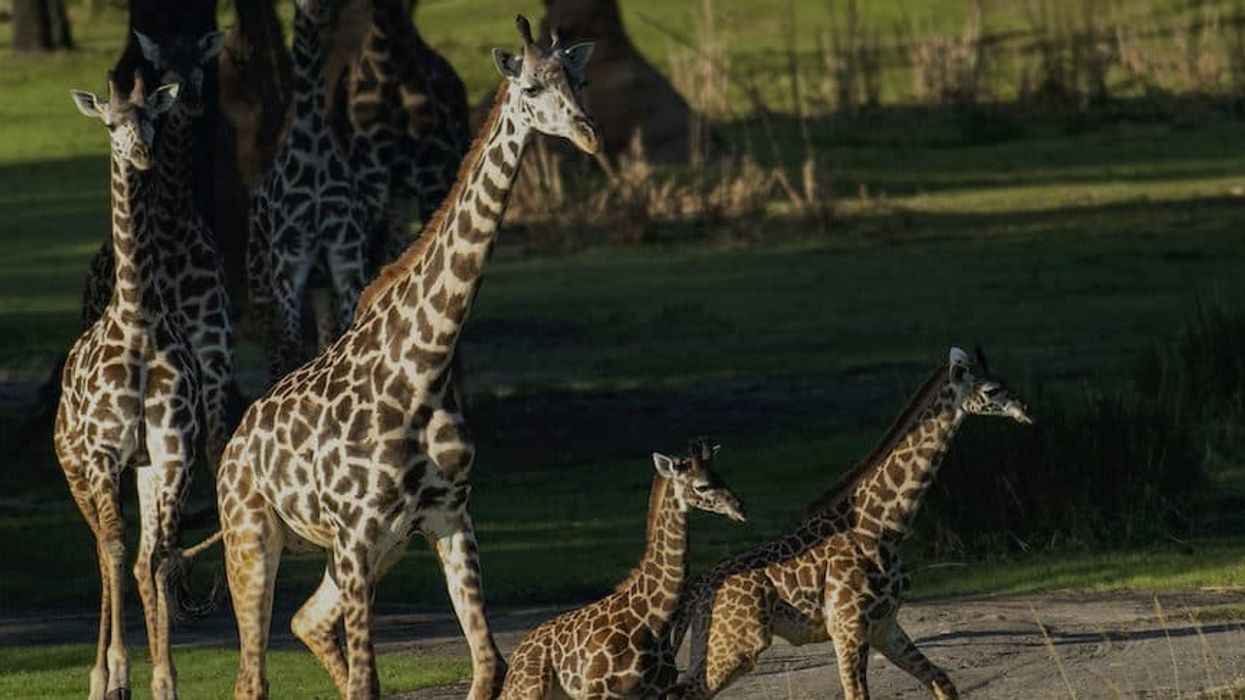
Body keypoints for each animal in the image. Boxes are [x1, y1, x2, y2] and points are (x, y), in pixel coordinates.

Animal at [247, 0, 369, 378]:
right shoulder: (289, 261)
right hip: (261, 281)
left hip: (319, 283)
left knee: (323, 339)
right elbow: (292, 348)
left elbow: (345, 335)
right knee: (275, 349)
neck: (313, 138)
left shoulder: (346, 255)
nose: (320, 12)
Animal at [499, 438, 746, 700]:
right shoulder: (598, 691)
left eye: (720, 476)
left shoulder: (656, 692)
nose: (740, 508)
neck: (655, 620)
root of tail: (516, 657)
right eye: (702, 486)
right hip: (531, 690)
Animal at [665, 347, 1034, 700]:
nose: (1026, 408)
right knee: (682, 692)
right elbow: (857, 695)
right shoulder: (848, 628)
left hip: (712, 642)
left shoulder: (885, 625)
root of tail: (701, 585)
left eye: (1004, 380)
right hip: (738, 644)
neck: (884, 526)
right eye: (990, 389)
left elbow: (943, 682)